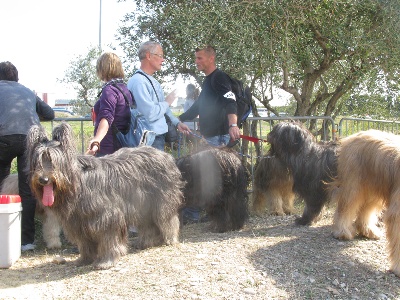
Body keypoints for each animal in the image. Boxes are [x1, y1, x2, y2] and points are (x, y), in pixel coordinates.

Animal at [27, 122, 184, 270]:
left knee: (168, 218)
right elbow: (84, 242)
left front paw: (105, 261)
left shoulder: (106, 217)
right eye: (37, 161)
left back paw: (170, 238)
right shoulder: (78, 220)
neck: (78, 182)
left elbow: (108, 239)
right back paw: (146, 242)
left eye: (52, 159)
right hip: (143, 204)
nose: (43, 179)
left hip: (161, 200)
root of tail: (165, 154)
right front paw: (84, 259)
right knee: (148, 223)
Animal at [332, 130, 400, 278]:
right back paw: (342, 232)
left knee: (366, 210)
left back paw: (367, 230)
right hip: (354, 185)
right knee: (345, 208)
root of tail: (355, 135)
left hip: (373, 189)